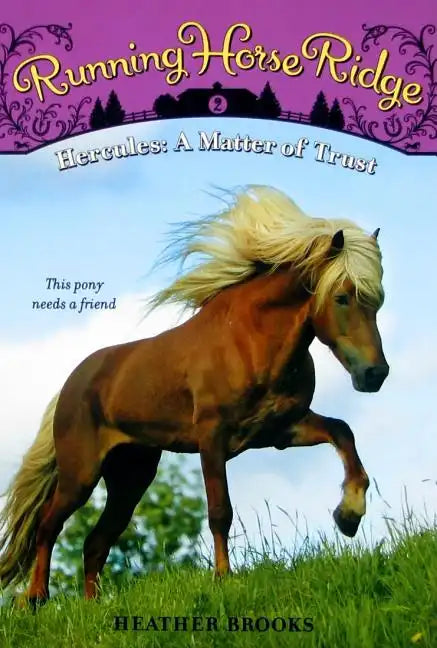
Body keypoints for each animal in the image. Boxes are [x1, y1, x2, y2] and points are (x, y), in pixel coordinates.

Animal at [0, 185, 389, 604]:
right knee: (48, 525)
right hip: (81, 475)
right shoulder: (212, 437)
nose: (375, 374)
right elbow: (220, 510)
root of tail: (70, 386)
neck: (249, 341)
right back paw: (35, 598)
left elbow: (342, 431)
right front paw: (223, 578)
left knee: (95, 542)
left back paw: (91, 606)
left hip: (130, 476)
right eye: (342, 297)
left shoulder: (281, 430)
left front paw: (348, 515)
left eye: (377, 299)